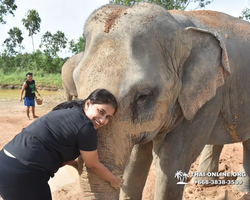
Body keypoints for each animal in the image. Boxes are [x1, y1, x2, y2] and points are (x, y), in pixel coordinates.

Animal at [67, 3, 250, 200]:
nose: (116, 181)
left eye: (143, 96)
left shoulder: (206, 101)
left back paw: (240, 191)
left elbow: (170, 162)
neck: (181, 29)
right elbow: (135, 160)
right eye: (76, 83)